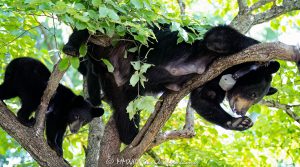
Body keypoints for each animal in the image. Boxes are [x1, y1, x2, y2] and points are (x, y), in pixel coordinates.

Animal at [62, 25, 278, 144]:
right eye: (253, 94)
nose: (241, 111)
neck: (226, 71)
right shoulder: (211, 52)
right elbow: (218, 37)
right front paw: (266, 60)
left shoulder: (213, 79)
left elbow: (203, 99)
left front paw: (238, 123)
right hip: (119, 36)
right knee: (95, 28)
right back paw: (72, 45)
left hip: (120, 87)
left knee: (125, 112)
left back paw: (134, 136)